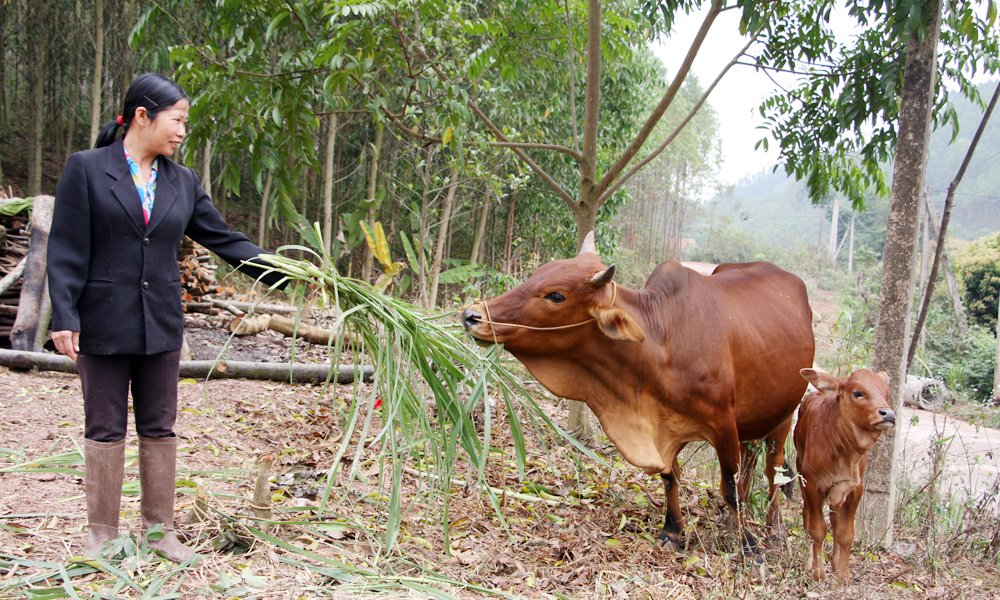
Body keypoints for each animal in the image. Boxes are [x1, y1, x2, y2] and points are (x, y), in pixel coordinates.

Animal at [464, 232, 816, 552]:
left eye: (556, 296)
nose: (471, 316)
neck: (662, 342)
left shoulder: (723, 422)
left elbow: (728, 486)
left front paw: (750, 547)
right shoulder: (665, 430)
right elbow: (671, 477)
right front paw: (672, 533)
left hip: (784, 414)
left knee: (772, 470)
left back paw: (774, 530)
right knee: (751, 462)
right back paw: (731, 521)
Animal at [792, 368, 896, 588]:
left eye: (886, 393)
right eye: (858, 393)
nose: (889, 414)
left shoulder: (855, 489)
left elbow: (845, 534)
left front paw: (843, 574)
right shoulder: (813, 484)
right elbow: (817, 529)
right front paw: (818, 573)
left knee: (835, 518)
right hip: (800, 471)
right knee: (807, 516)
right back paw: (809, 562)